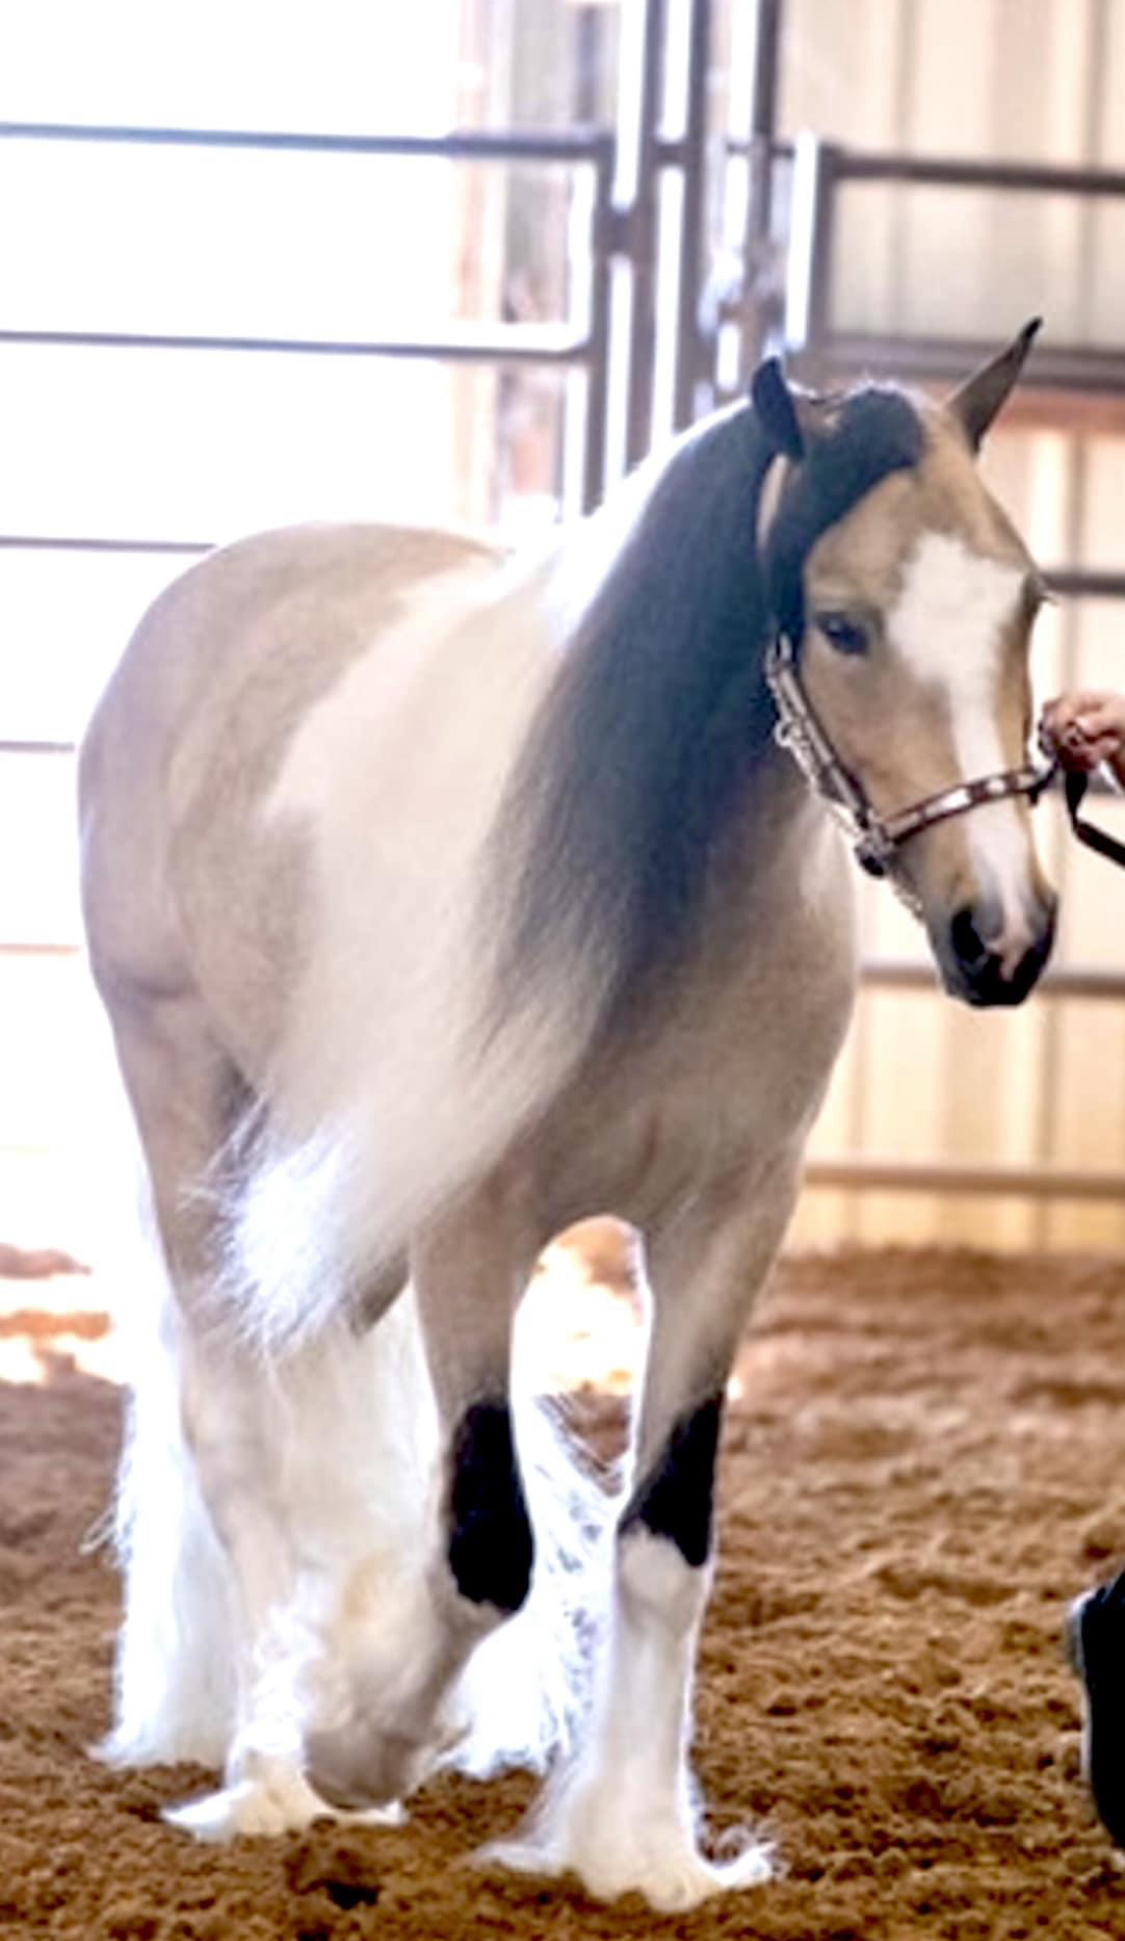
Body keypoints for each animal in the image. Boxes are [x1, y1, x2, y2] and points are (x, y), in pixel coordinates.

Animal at [78, 321, 1057, 1912]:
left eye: (1026, 599)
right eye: (841, 626)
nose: (1008, 935)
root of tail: (201, 600)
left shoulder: (725, 1229)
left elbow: (663, 1540)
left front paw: (634, 1852)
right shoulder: (475, 1231)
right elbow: (490, 1544)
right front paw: (362, 1744)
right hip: (184, 1093)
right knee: (236, 1426)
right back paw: (272, 1768)